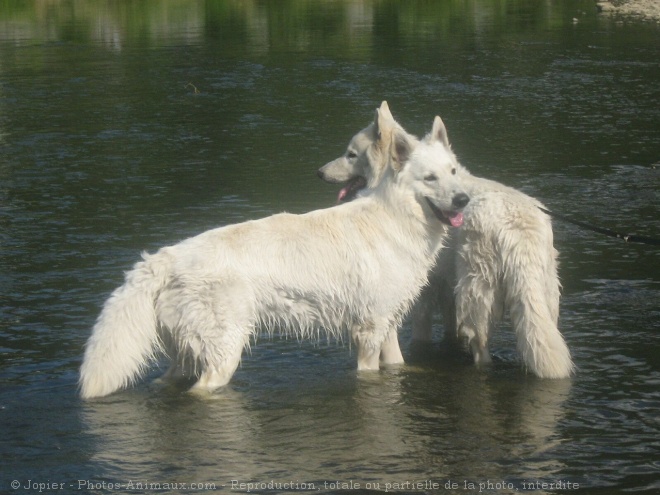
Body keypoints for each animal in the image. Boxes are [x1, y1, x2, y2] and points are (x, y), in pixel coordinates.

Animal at [78, 104, 470, 400]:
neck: (396, 217)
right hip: (225, 353)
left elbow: (398, 364)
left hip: (186, 352)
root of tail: (162, 258)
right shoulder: (368, 333)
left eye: (453, 171)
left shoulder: (387, 325)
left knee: (166, 380)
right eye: (430, 178)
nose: (464, 199)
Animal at [318, 101, 572, 380]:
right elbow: (451, 328)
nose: (320, 172)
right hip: (545, 295)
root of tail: (519, 230)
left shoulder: (425, 291)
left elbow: (421, 330)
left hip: (476, 290)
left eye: (351, 154)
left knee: (480, 344)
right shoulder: (447, 290)